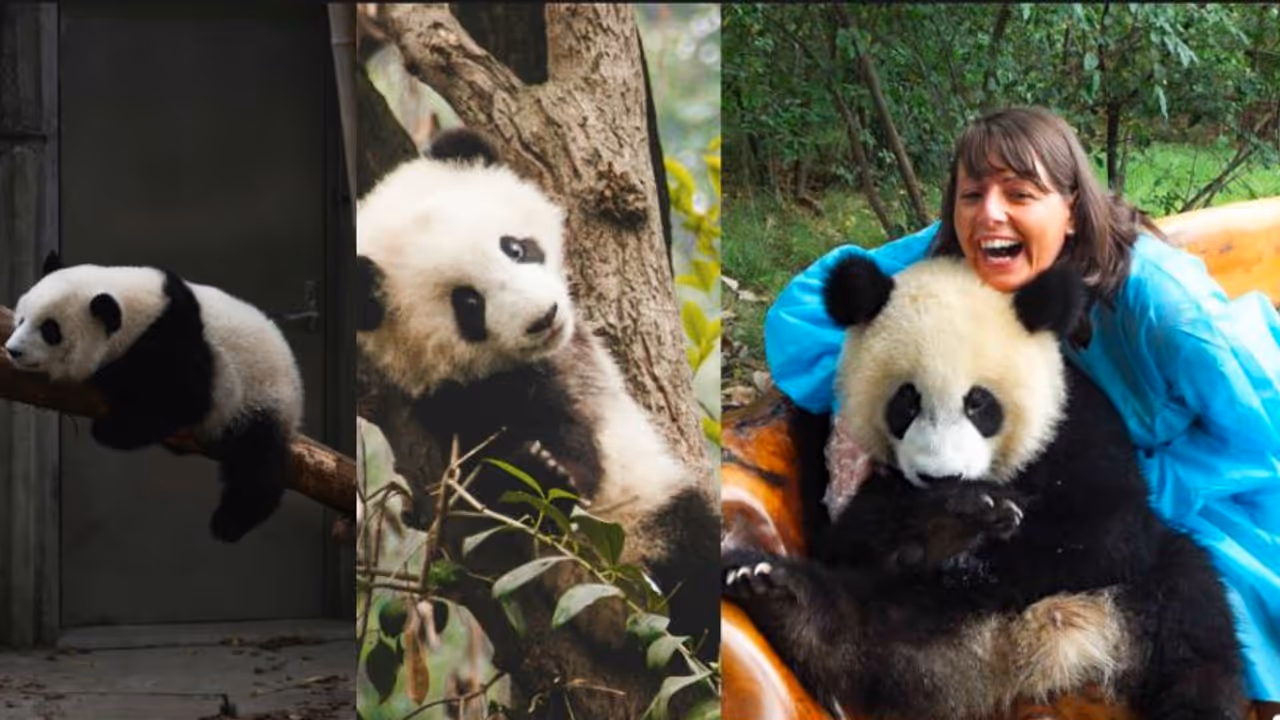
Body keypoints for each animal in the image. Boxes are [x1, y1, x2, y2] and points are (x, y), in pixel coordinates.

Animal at [4, 252, 303, 543]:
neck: (141, 314)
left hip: (261, 397)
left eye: (49, 329)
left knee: (256, 461)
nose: (13, 350)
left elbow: (184, 400)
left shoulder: (178, 340)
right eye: (22, 318)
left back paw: (230, 522)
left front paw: (110, 419)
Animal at [356, 128, 720, 658]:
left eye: (514, 247)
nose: (544, 317)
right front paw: (540, 467)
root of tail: (623, 612)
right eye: (468, 303)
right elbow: (500, 468)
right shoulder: (448, 401)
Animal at [723, 255, 1244, 719]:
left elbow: (1108, 527)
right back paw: (776, 592)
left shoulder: (1077, 424)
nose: (941, 478)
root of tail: (1030, 651)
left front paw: (969, 529)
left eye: (979, 404)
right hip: (918, 626)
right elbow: (847, 541)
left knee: (1193, 621)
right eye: (905, 402)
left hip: (1141, 590)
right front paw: (951, 520)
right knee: (858, 626)